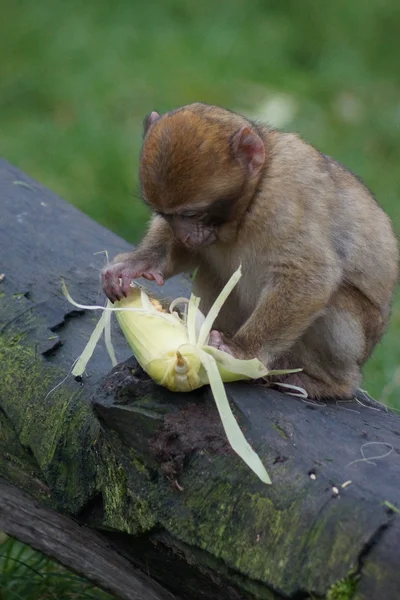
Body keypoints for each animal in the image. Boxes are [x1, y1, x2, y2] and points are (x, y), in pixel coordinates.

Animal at [101, 103, 398, 400]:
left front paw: (242, 351)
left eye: (191, 213)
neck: (252, 197)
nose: (183, 234)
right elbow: (190, 253)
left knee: (337, 304)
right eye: (167, 215)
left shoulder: (285, 199)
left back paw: (326, 383)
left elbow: (310, 275)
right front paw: (137, 263)